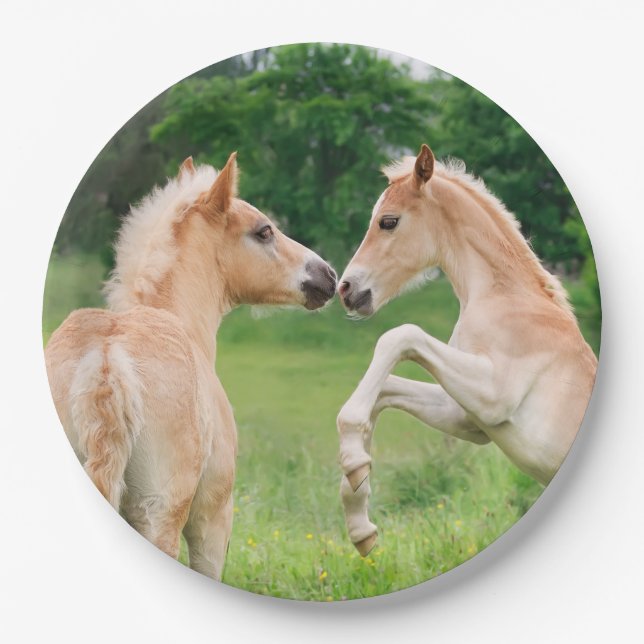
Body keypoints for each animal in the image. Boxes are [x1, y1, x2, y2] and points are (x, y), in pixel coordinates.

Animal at [335, 144, 597, 556]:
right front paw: (359, 508)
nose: (346, 289)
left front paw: (354, 464)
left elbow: (399, 337)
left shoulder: (493, 395)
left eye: (388, 222)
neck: (505, 300)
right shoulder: (468, 418)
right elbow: (386, 391)